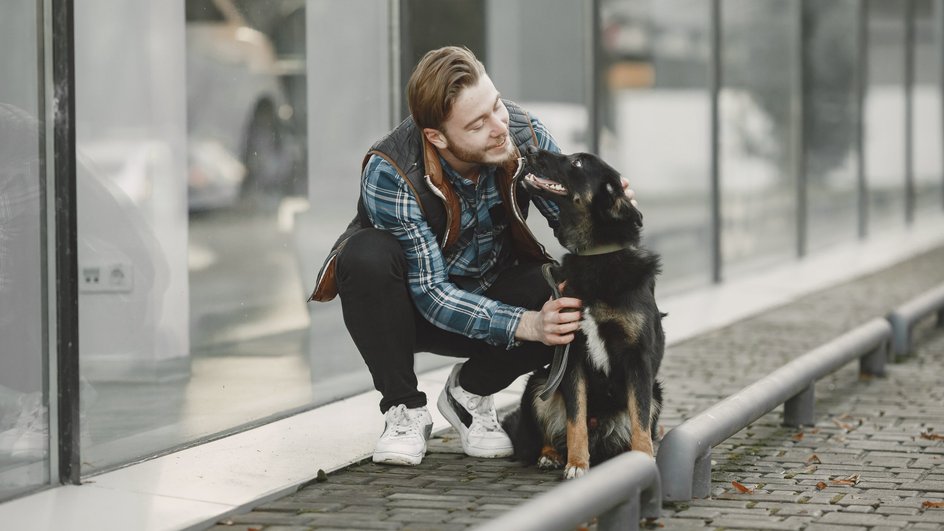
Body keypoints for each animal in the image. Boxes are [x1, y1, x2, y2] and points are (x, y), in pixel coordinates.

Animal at [502, 147, 664, 482]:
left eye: (576, 162)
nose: (529, 149)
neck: (596, 256)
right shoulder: (571, 354)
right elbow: (575, 421)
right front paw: (577, 464)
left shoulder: (638, 360)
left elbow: (640, 419)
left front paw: (643, 459)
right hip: (539, 383)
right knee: (550, 435)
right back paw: (551, 455)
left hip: (657, 392)